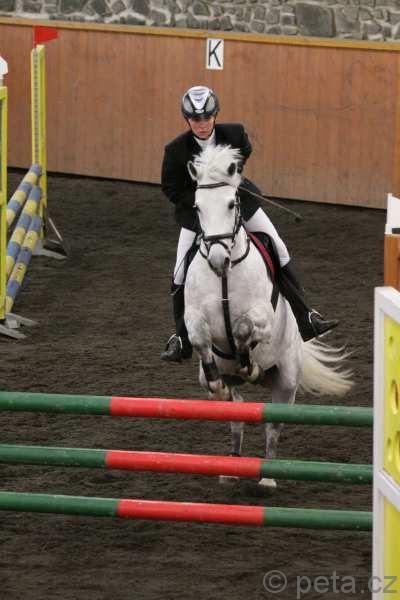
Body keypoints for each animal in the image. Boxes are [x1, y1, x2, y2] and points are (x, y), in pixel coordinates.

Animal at [184, 144, 353, 488]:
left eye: (232, 202)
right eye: (197, 207)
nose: (218, 259)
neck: (224, 274)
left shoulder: (263, 317)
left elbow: (244, 329)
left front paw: (249, 364)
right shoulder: (194, 318)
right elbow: (200, 338)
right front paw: (217, 382)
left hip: (286, 382)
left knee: (273, 425)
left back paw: (268, 477)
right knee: (236, 417)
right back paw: (231, 465)